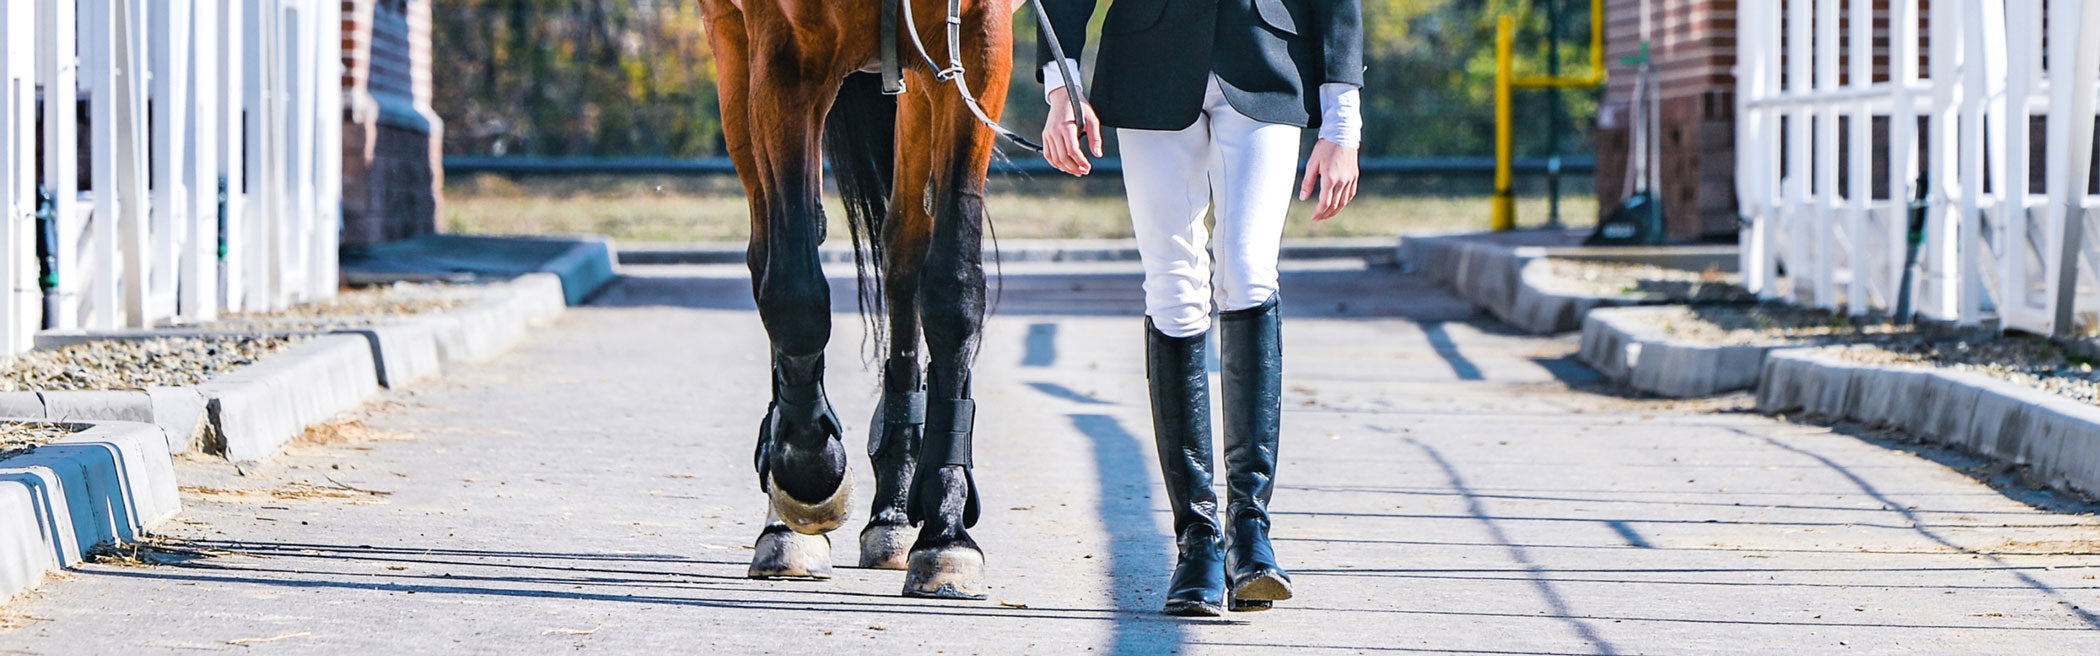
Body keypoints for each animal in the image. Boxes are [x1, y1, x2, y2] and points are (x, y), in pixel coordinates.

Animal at [695, 0, 1028, 599]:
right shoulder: (783, 57)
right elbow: (795, 292)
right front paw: (809, 472)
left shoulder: (976, 45)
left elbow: (953, 286)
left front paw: (946, 533)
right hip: (734, 57)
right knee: (769, 253)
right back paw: (784, 523)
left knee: (903, 251)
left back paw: (895, 506)